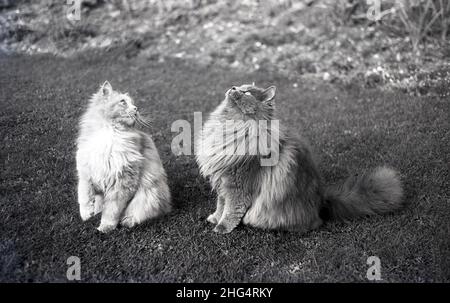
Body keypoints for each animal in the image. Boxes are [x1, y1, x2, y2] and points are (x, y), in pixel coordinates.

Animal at [75, 81, 171, 233]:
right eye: (123, 102)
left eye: (133, 104)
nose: (136, 109)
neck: (110, 133)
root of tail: (167, 206)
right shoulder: (86, 174)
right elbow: (84, 196)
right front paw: (86, 214)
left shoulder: (122, 182)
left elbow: (111, 210)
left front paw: (105, 227)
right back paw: (96, 212)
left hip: (148, 194)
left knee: (137, 214)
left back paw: (126, 221)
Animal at [196, 83, 404, 235]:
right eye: (238, 86)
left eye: (246, 91)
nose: (232, 87)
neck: (228, 127)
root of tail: (322, 202)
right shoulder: (222, 182)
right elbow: (220, 205)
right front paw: (214, 218)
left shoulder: (237, 185)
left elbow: (231, 210)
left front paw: (221, 228)